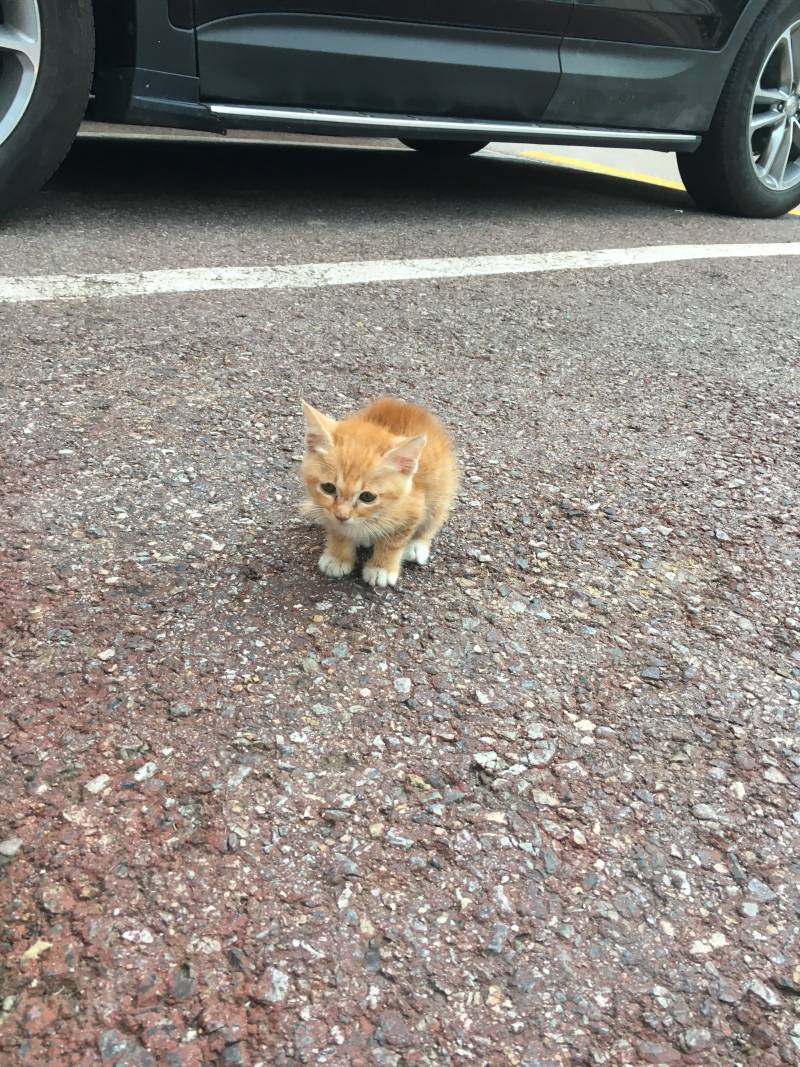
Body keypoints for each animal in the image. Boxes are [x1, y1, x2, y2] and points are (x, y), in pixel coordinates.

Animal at [300, 396, 460, 588]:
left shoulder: (412, 510)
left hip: (441, 491)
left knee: (433, 520)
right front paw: (337, 556)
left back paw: (417, 546)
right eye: (328, 488)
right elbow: (338, 531)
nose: (342, 516)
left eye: (367, 497)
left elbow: (393, 543)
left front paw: (381, 568)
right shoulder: (328, 514)